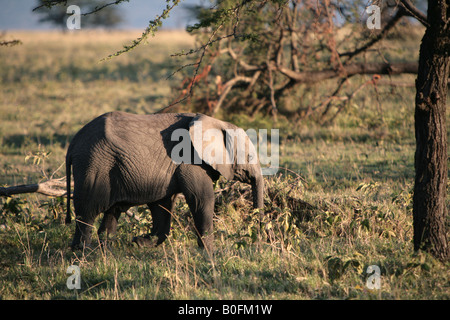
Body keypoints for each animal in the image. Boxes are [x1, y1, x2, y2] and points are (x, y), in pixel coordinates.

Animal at [66, 111, 264, 251]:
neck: (218, 123)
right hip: (94, 165)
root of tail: (73, 143)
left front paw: (140, 242)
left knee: (111, 211)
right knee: (89, 210)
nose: (258, 244)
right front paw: (210, 254)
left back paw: (106, 250)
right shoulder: (190, 161)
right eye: (249, 156)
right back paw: (83, 251)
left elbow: (163, 205)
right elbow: (201, 199)